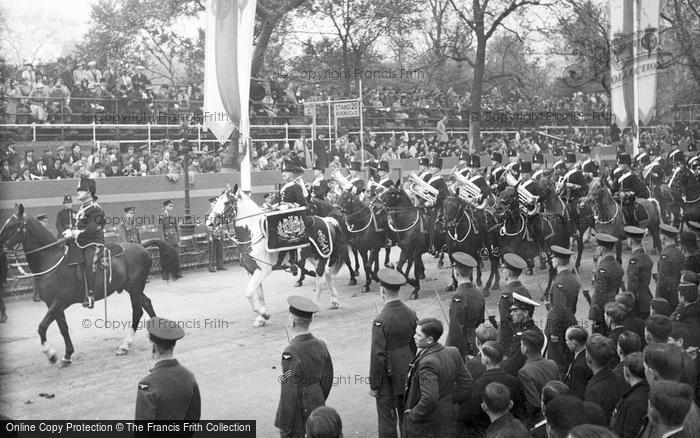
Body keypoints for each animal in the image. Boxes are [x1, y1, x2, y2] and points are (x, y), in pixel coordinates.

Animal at [0, 205, 180, 366]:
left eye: (12, 225)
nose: (1, 247)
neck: (52, 259)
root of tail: (141, 246)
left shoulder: (58, 303)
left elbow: (42, 327)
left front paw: (50, 354)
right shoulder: (54, 305)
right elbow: (63, 328)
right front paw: (67, 355)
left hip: (134, 289)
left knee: (138, 311)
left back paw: (131, 345)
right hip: (134, 289)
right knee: (146, 305)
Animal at [208, 184, 344, 326]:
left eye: (226, 202)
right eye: (217, 201)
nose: (209, 222)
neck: (252, 235)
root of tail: (326, 221)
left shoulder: (262, 270)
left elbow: (249, 292)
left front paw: (264, 314)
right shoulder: (252, 271)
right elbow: (259, 294)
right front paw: (261, 319)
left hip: (321, 257)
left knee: (320, 282)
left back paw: (313, 307)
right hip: (313, 258)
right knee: (327, 274)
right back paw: (334, 301)